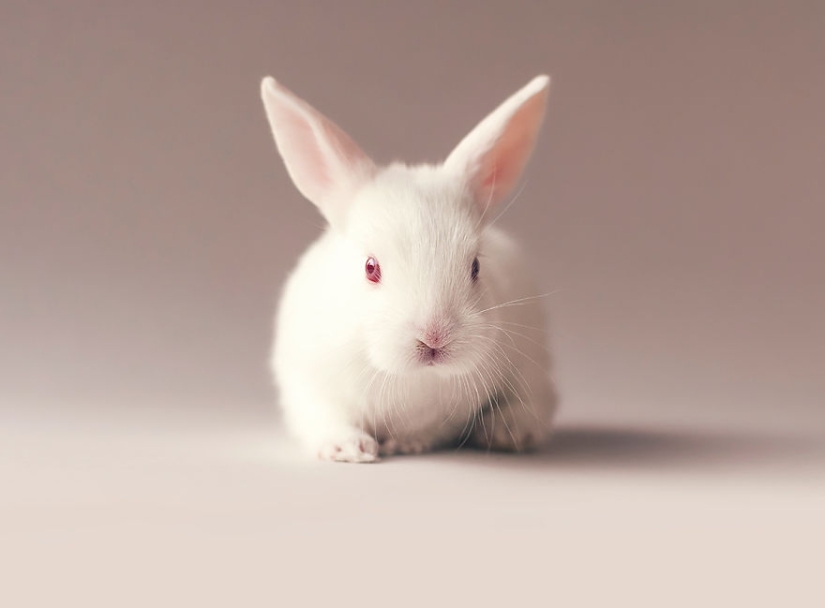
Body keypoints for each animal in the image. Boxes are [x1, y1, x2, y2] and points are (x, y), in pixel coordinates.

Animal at [260, 74, 558, 462]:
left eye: (475, 266)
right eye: (371, 267)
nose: (434, 338)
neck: (406, 377)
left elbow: (430, 429)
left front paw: (407, 444)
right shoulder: (306, 383)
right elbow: (325, 417)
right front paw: (350, 448)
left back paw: (508, 431)